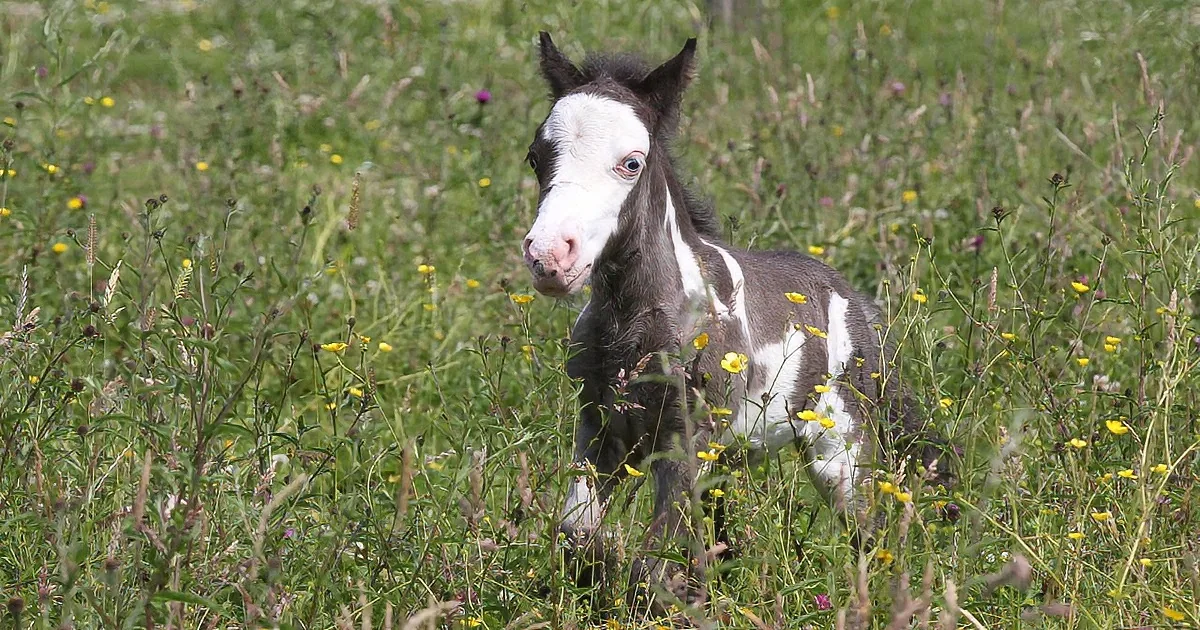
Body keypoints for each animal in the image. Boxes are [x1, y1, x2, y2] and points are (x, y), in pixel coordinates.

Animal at [520, 32, 947, 611]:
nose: (549, 257)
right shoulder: (600, 427)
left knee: (868, 530)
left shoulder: (687, 438)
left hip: (839, 446)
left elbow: (655, 561)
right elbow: (578, 534)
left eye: (631, 163)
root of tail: (854, 301)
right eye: (536, 157)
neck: (638, 326)